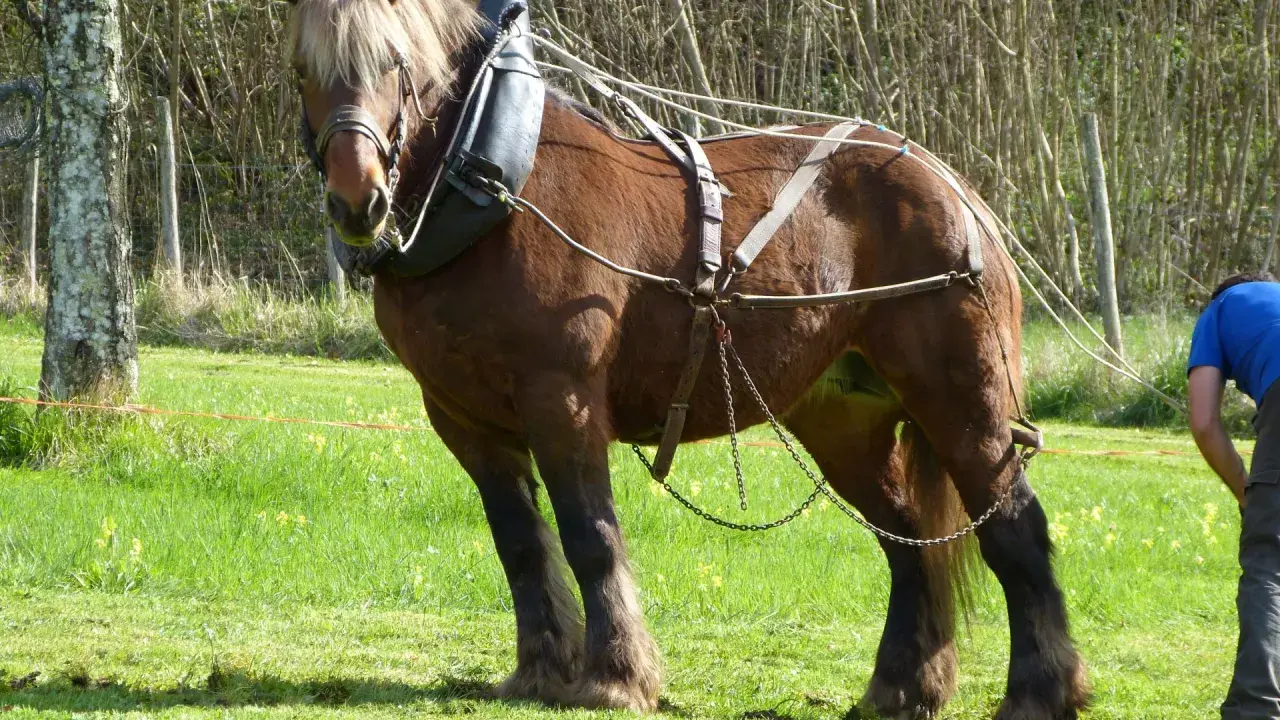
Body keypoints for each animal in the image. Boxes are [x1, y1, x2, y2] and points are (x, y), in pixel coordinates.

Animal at [287, 1, 1089, 717]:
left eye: (396, 62)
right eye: (302, 69)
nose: (358, 200)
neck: (498, 190)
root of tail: (954, 187)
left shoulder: (563, 399)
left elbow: (590, 536)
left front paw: (615, 678)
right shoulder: (462, 418)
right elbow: (520, 545)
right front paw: (541, 672)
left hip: (962, 402)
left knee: (1014, 529)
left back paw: (1039, 691)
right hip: (844, 421)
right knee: (910, 540)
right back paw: (901, 689)